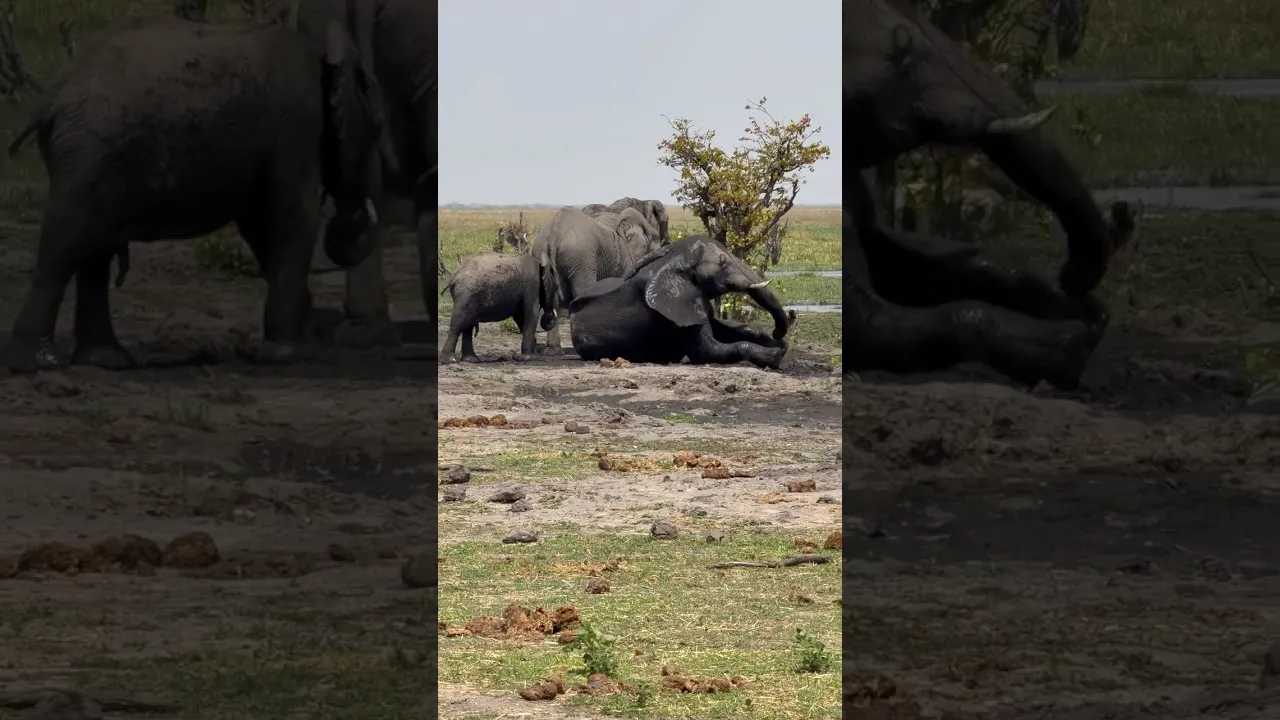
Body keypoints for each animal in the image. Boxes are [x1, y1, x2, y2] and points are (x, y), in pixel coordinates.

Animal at [4, 12, 383, 373]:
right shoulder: (298, 124)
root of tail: (52, 98)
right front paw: (292, 355)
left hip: (92, 153)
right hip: (92, 148)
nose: (357, 222)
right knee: (66, 243)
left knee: (94, 246)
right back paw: (35, 363)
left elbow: (260, 227)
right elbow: (294, 217)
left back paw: (104, 361)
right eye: (376, 131)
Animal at [532, 206, 663, 354]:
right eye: (652, 238)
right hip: (582, 259)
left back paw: (554, 351)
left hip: (541, 254)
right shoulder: (625, 255)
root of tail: (555, 231)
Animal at [568, 235, 791, 369]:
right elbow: (708, 351)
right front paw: (775, 353)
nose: (777, 332)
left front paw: (778, 344)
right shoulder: (672, 314)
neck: (673, 259)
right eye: (722, 262)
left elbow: (729, 329)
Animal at [842, 0, 1129, 389]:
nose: (1072, 277)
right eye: (904, 54)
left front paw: (1081, 311)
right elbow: (865, 323)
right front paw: (1071, 342)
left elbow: (908, 266)